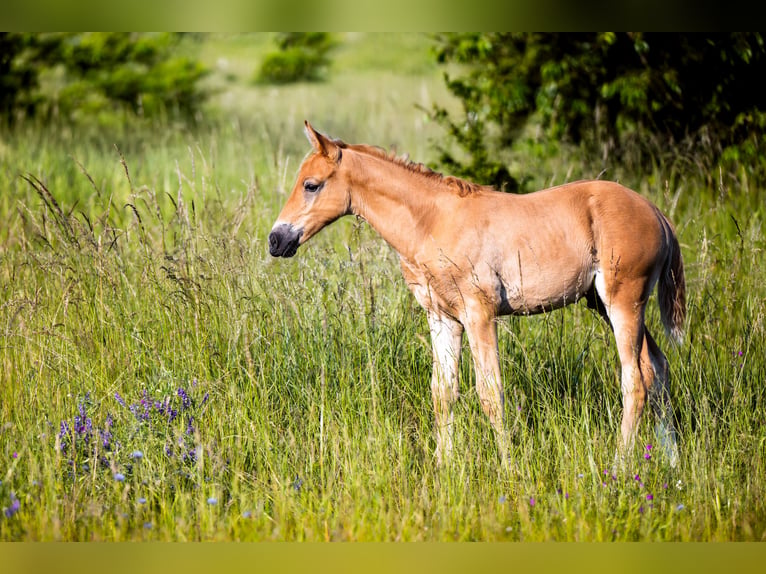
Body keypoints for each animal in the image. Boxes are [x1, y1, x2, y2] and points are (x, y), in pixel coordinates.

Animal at [269, 121, 686, 467]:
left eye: (311, 185)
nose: (276, 240)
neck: (434, 222)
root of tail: (656, 213)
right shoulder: (442, 319)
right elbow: (442, 393)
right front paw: (443, 468)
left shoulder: (479, 315)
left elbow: (490, 394)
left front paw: (509, 468)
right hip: (607, 305)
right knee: (657, 369)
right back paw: (673, 463)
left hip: (624, 303)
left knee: (635, 382)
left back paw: (621, 466)